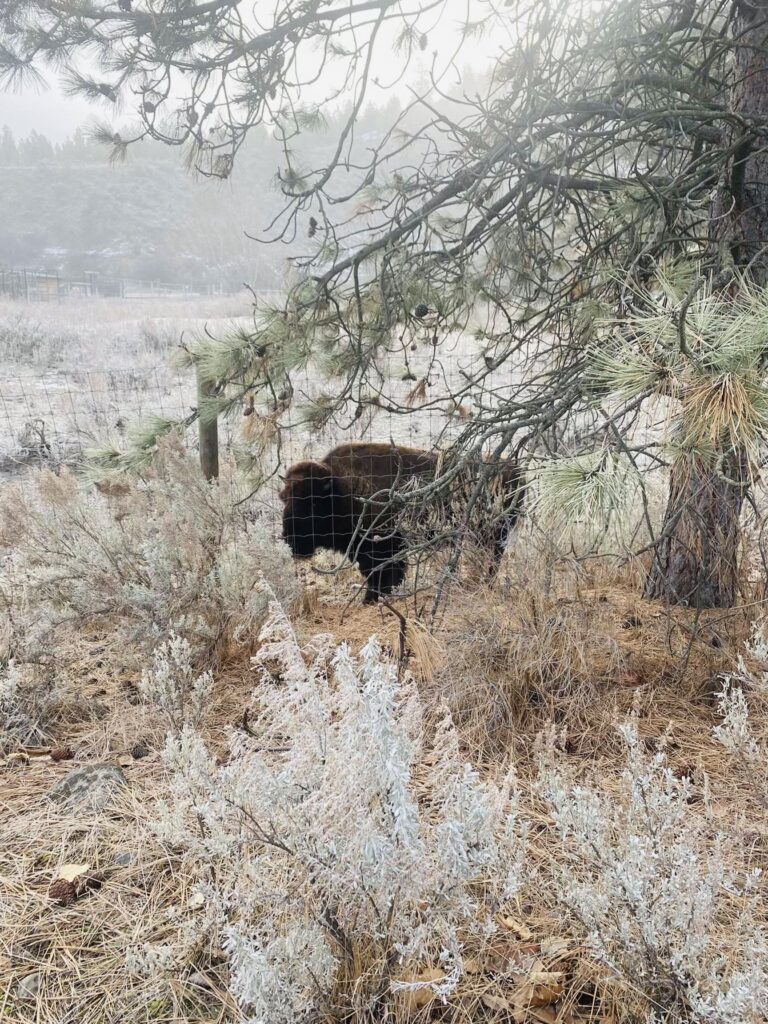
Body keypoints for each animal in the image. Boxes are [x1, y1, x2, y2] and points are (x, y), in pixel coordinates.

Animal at [280, 438, 528, 598]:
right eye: (284, 499)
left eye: (312, 504)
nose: (289, 540)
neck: (341, 488)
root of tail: (516, 470)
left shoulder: (381, 548)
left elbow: (382, 574)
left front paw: (373, 598)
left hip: (491, 536)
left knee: (492, 561)